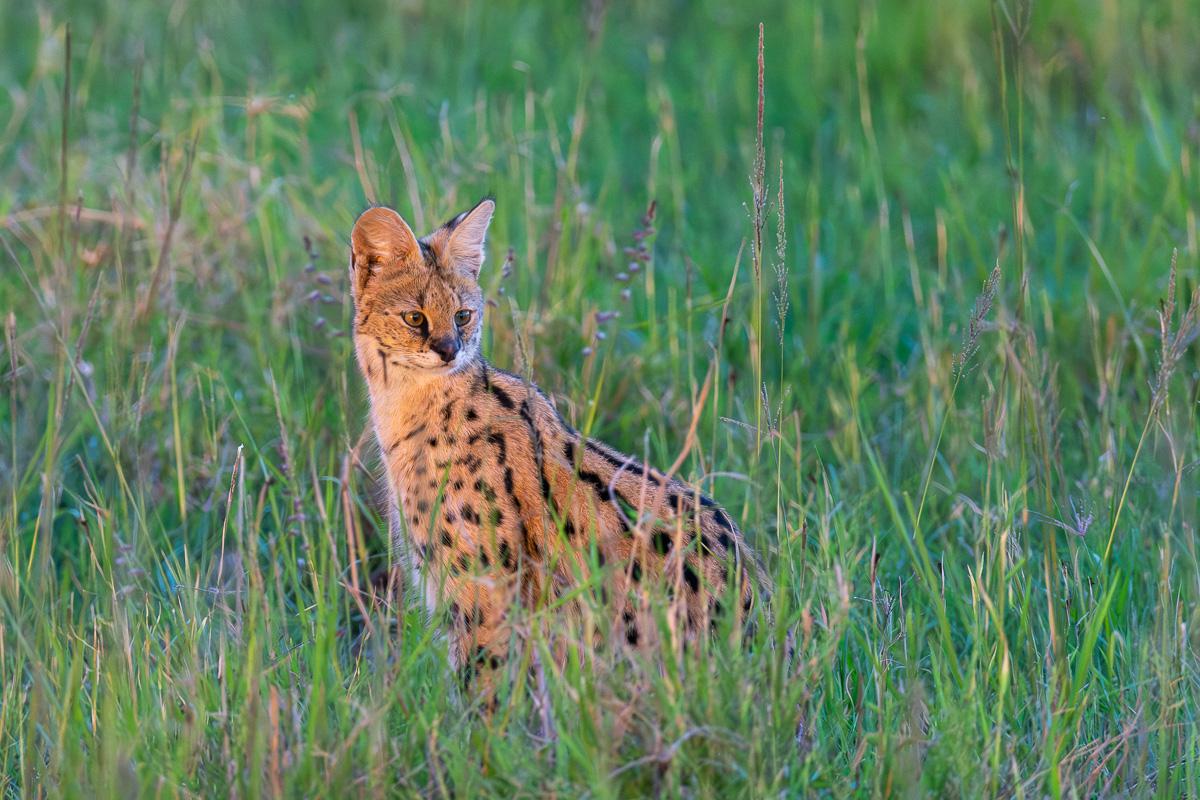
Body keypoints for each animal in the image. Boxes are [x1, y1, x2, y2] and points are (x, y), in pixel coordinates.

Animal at [348, 199, 763, 690]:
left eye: (463, 315)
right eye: (415, 318)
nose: (450, 350)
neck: (407, 408)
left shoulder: (486, 592)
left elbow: (481, 689)